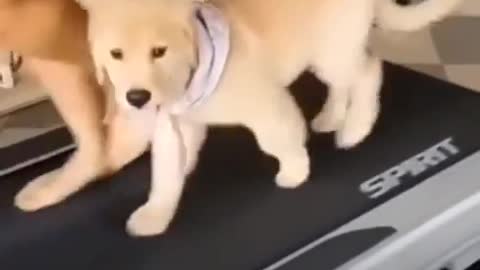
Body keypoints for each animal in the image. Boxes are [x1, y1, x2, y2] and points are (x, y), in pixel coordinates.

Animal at [77, 0, 464, 236]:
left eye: (159, 51)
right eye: (116, 54)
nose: (136, 98)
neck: (192, 74)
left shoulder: (266, 104)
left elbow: (278, 140)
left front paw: (294, 171)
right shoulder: (175, 126)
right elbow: (166, 174)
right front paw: (154, 215)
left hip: (333, 50)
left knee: (369, 71)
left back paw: (355, 128)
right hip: (323, 54)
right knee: (342, 85)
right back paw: (331, 117)